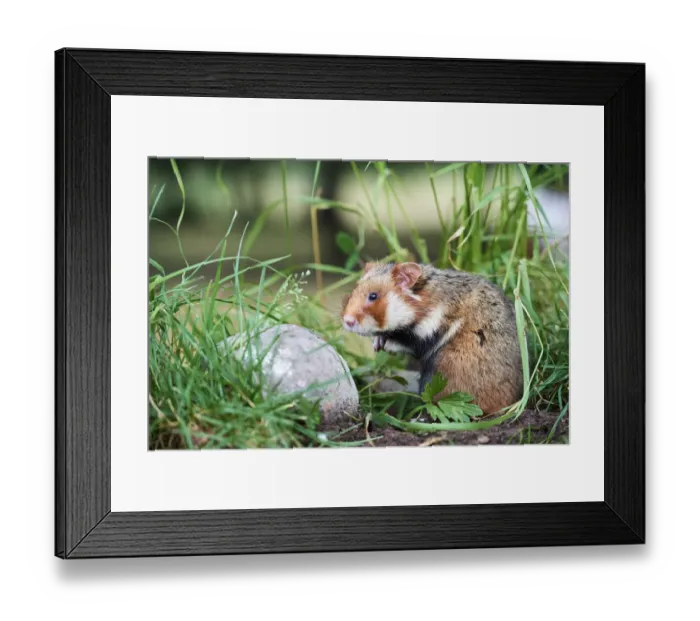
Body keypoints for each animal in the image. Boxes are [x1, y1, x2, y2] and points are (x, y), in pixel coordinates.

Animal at [341, 262, 523, 414]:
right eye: (353, 291)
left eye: (373, 296)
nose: (347, 321)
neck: (422, 303)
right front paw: (377, 342)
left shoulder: (429, 332)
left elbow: (405, 343)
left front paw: (381, 343)